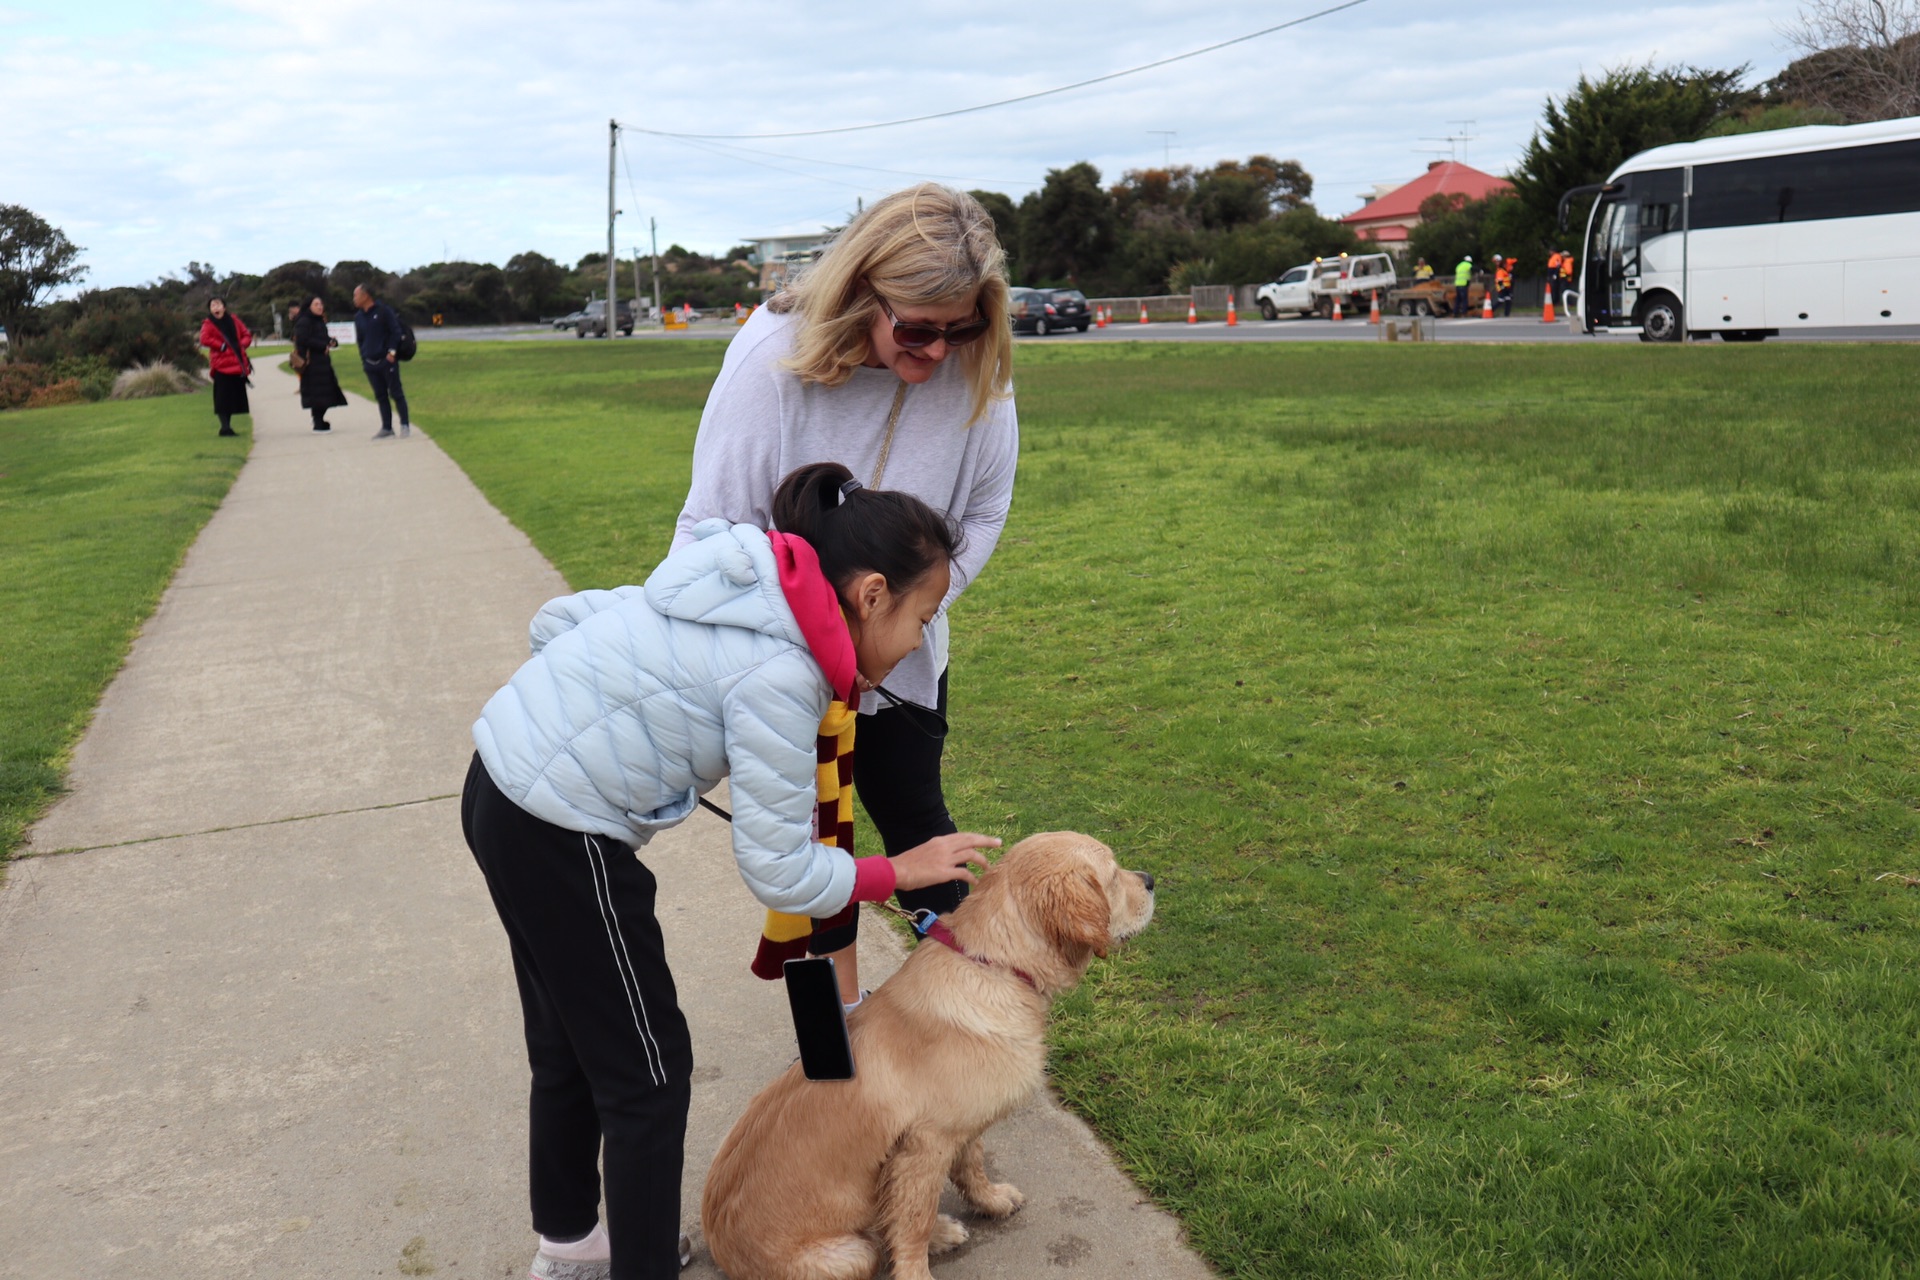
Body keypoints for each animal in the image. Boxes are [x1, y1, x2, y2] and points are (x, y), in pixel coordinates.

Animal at [706, 832, 1152, 1280]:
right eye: (1113, 876)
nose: (1150, 880)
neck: (994, 965)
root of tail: (721, 1252)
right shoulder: (925, 1143)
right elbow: (914, 1221)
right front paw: (918, 1268)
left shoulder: (961, 1124)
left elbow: (971, 1165)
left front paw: (990, 1201)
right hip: (849, 1254)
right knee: (879, 1239)